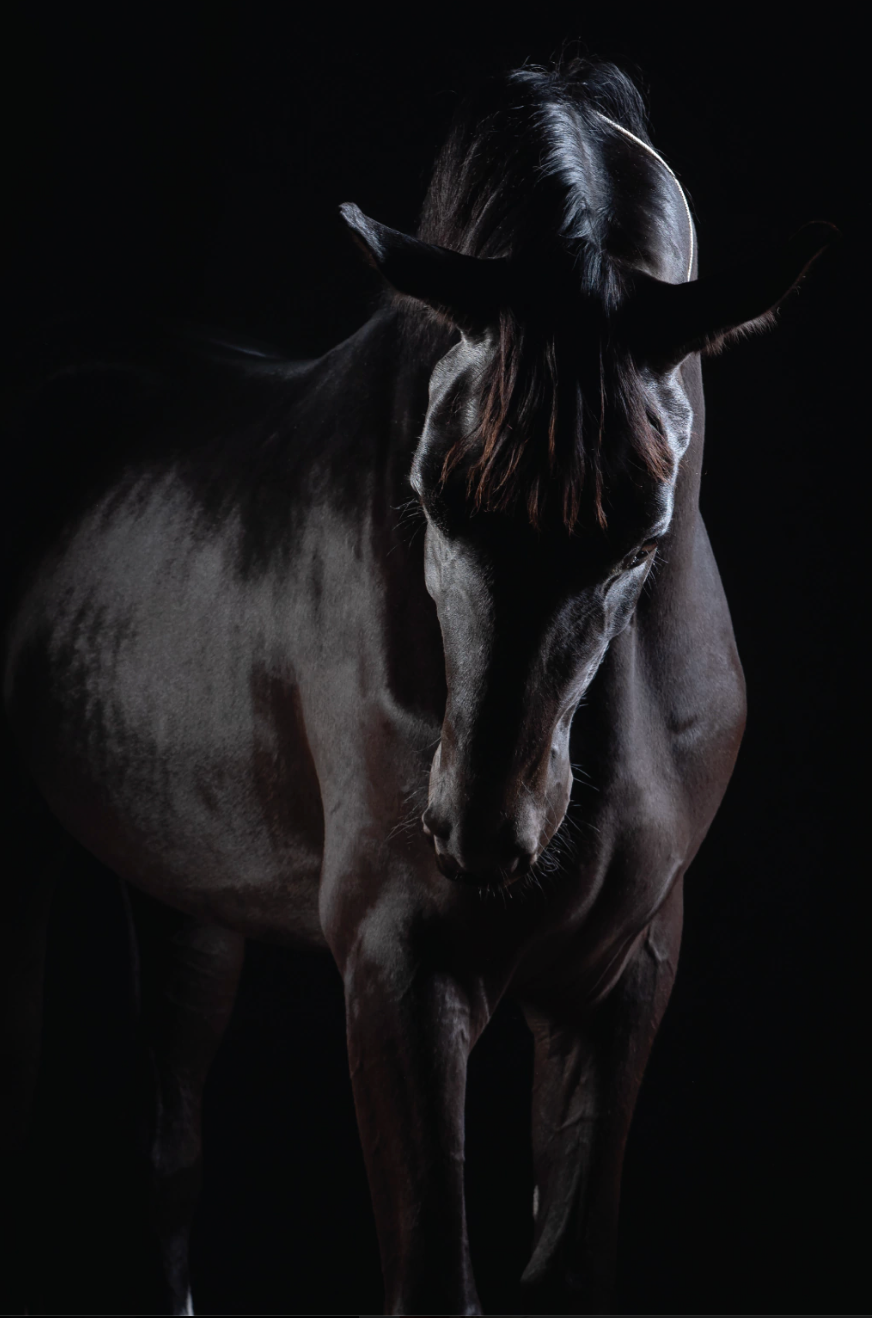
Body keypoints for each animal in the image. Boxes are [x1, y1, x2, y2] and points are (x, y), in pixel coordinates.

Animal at [1, 58, 835, 1315]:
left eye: (641, 533)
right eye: (432, 494)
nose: (481, 830)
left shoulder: (617, 983)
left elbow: (573, 1259)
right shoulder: (400, 969)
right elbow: (434, 1276)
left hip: (185, 895)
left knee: (169, 1155)